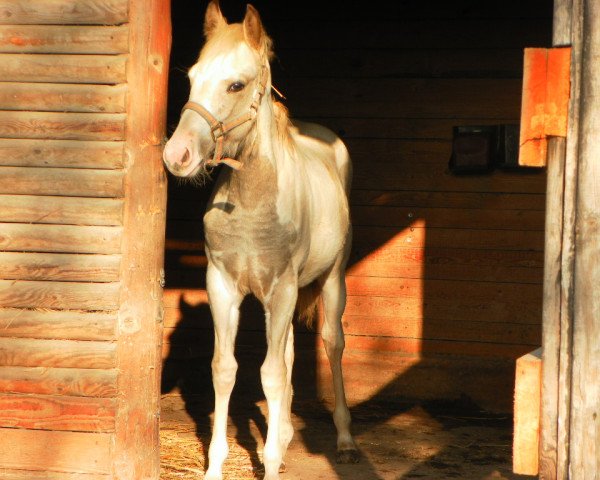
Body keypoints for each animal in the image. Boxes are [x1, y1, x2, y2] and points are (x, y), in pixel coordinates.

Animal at [162, 2, 358, 476]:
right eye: (192, 77)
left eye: (236, 84)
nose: (177, 156)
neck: (252, 206)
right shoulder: (222, 286)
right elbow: (226, 368)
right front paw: (216, 466)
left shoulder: (282, 288)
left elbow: (271, 375)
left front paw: (268, 463)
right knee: (286, 355)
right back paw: (284, 437)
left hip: (331, 280)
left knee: (332, 344)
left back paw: (344, 440)